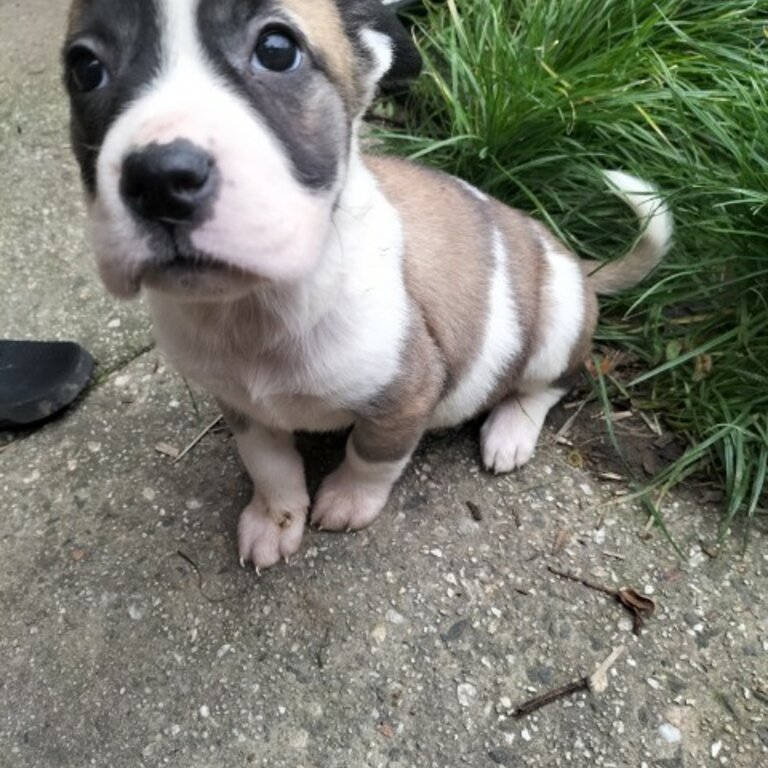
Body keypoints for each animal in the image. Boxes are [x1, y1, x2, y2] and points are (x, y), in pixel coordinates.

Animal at [61, 1, 672, 568]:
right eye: (84, 68)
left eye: (277, 50)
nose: (159, 179)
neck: (256, 309)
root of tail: (572, 258)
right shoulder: (239, 406)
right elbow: (270, 464)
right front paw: (274, 517)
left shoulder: (407, 396)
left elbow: (371, 455)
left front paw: (348, 500)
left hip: (556, 324)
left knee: (549, 384)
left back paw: (511, 431)